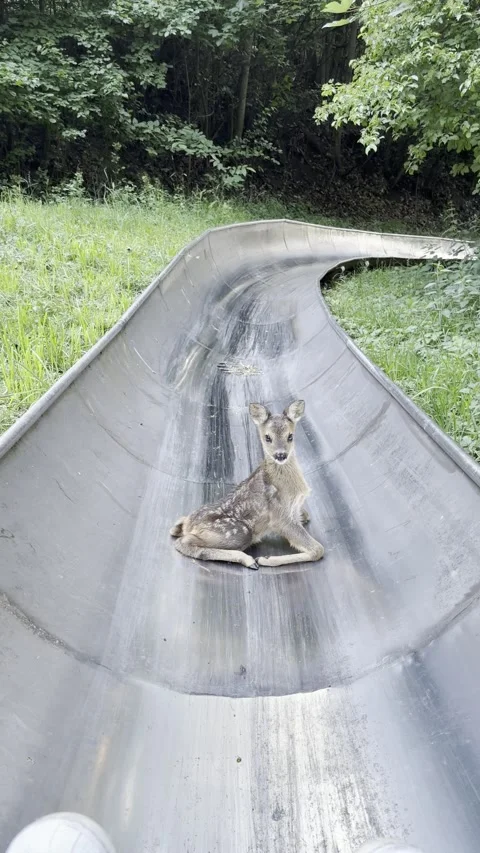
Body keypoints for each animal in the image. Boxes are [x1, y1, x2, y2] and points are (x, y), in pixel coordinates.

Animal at [170, 400, 324, 570]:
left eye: (290, 436)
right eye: (267, 437)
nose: (280, 455)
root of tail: (188, 524)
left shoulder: (295, 510)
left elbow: (307, 518)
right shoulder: (280, 516)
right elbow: (318, 549)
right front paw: (266, 559)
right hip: (240, 532)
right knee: (184, 542)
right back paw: (250, 560)